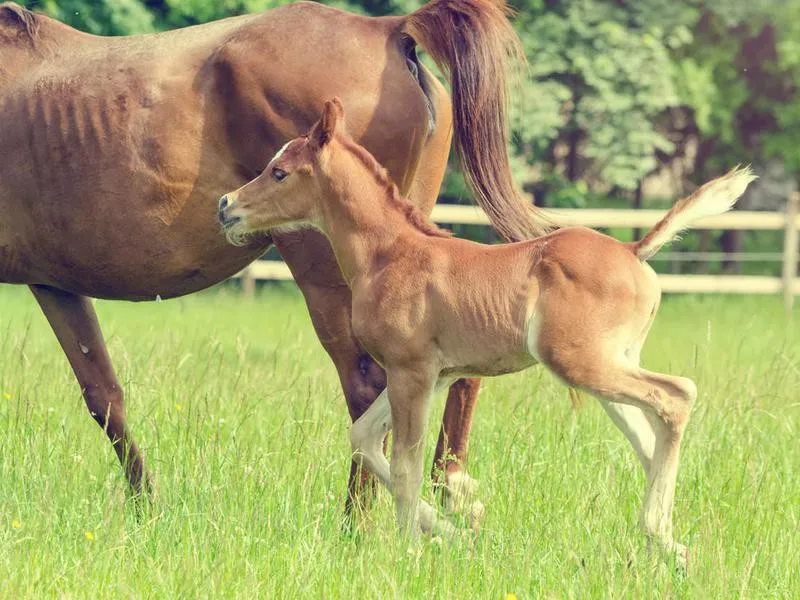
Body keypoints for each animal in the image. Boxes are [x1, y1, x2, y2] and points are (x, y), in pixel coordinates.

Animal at [0, 0, 552, 516]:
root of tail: (388, 29)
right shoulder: (55, 283)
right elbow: (104, 395)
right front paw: (146, 506)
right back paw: (446, 492)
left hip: (329, 276)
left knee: (367, 387)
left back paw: (358, 524)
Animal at [219, 98, 756, 564]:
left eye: (280, 171)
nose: (226, 206)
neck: (390, 253)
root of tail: (633, 249)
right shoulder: (433, 374)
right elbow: (365, 438)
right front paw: (452, 529)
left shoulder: (412, 371)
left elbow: (407, 463)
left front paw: (411, 552)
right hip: (609, 366)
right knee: (649, 437)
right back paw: (668, 545)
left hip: (580, 362)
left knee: (676, 396)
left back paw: (658, 535)